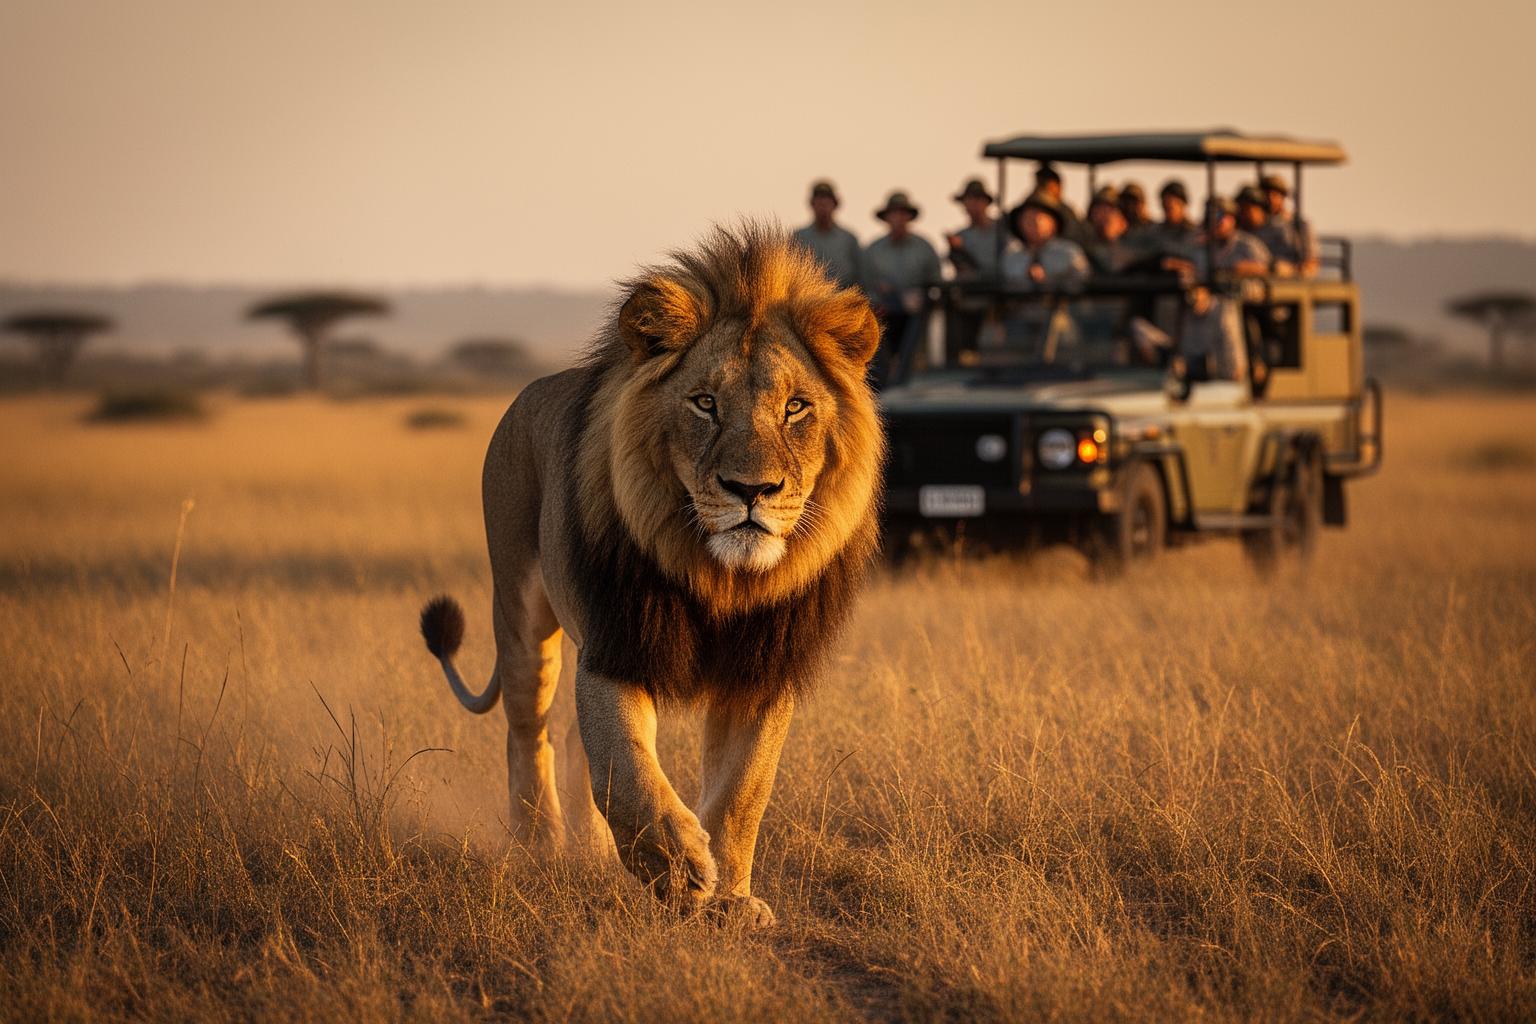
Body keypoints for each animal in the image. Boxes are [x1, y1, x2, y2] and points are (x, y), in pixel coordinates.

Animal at [418, 223, 882, 926]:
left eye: (797, 407)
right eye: (705, 403)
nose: (752, 490)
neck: (721, 577)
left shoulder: (763, 671)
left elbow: (743, 791)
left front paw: (731, 899)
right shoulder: (618, 645)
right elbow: (625, 767)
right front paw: (676, 866)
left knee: (571, 743)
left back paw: (589, 851)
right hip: (520, 614)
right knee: (529, 730)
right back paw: (540, 845)